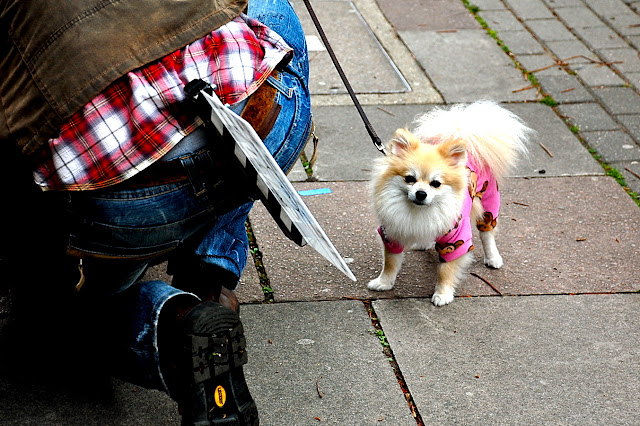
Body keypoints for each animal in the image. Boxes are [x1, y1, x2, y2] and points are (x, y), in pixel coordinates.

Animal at [367, 101, 532, 306]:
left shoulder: (456, 239)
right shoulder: (392, 232)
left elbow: (446, 270)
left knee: (487, 233)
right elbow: (390, 263)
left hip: (488, 201)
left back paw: (493, 257)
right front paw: (383, 283)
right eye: (409, 179)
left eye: (436, 183)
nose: (421, 194)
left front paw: (442, 294)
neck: (419, 212)